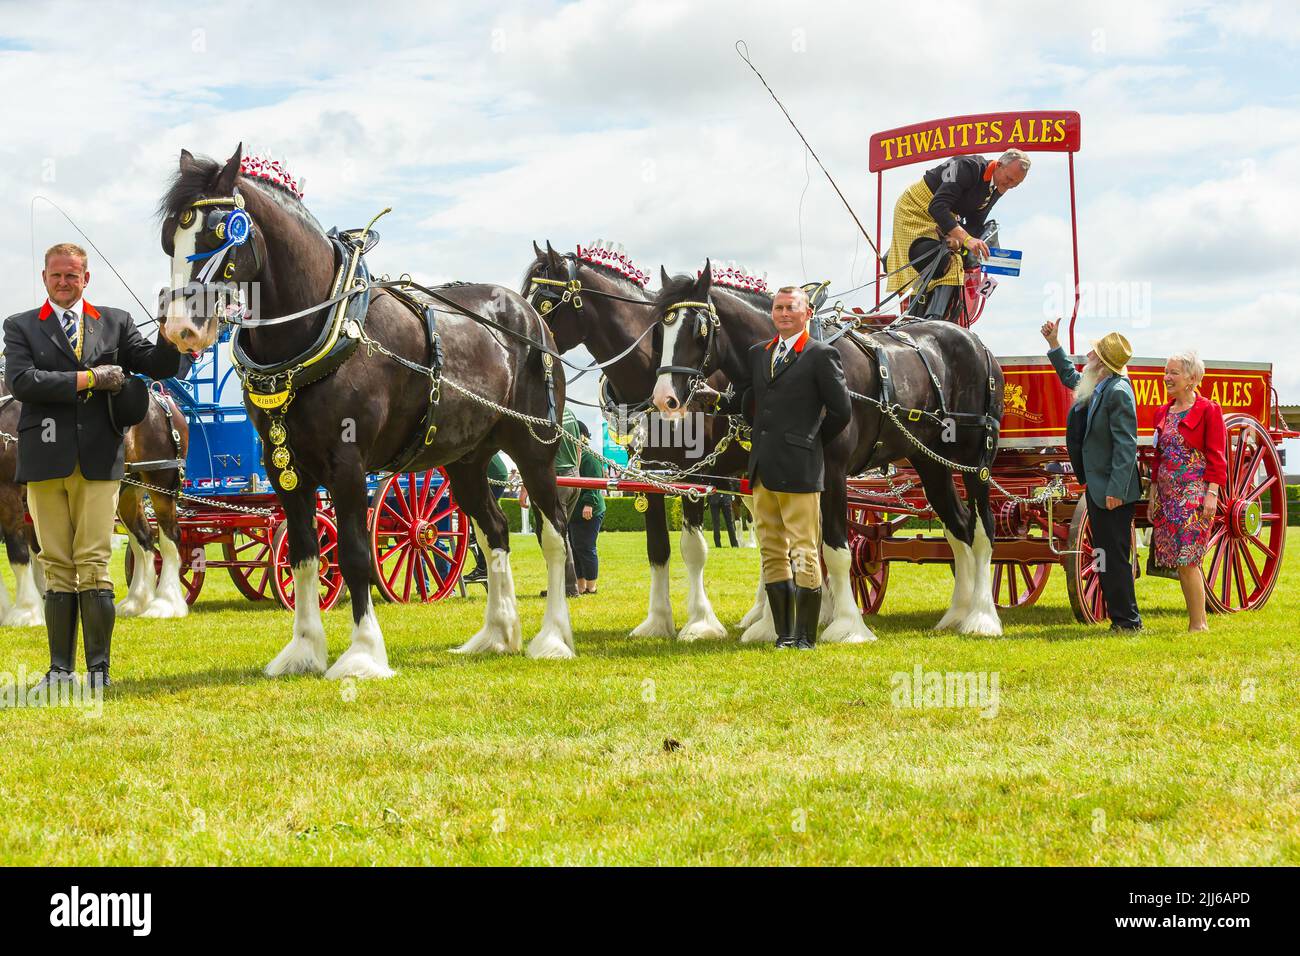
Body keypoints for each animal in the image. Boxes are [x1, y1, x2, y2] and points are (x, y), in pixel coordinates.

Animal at [157, 145, 574, 676]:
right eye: (170, 237)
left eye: (217, 233)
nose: (181, 328)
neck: (323, 325)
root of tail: (529, 315)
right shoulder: (283, 467)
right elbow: (304, 554)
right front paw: (304, 649)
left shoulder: (348, 465)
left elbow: (354, 554)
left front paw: (362, 653)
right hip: (466, 459)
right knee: (495, 530)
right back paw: (496, 635)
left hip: (534, 448)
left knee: (554, 532)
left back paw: (553, 638)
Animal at [655, 273, 1008, 639]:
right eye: (660, 330)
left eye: (698, 329)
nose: (665, 398)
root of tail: (977, 344)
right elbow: (787, 547)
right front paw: (776, 626)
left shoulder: (834, 472)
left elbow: (835, 550)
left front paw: (847, 626)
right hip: (932, 464)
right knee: (959, 528)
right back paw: (957, 613)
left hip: (976, 461)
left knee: (983, 531)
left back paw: (982, 616)